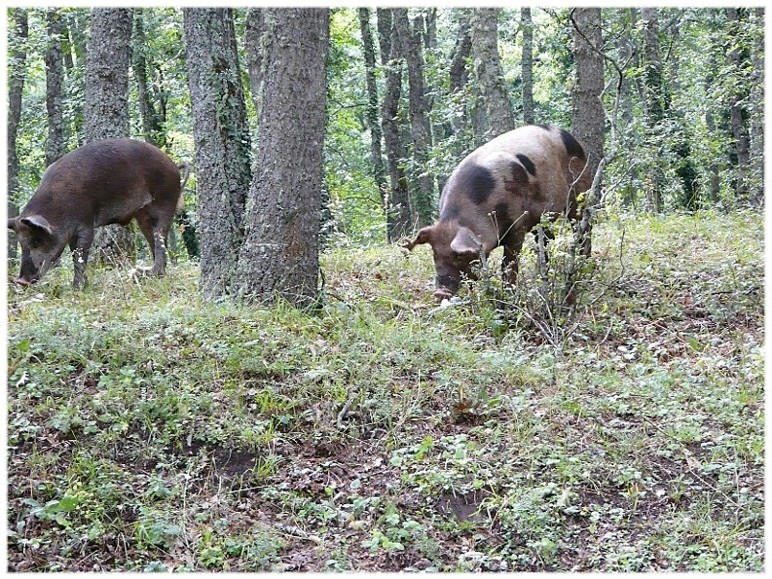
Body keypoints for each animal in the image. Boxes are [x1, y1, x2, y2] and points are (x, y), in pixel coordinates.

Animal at [7, 138, 190, 288]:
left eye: (36, 240)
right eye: (21, 243)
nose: (20, 281)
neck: (59, 207)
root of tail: (174, 166)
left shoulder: (86, 223)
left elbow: (80, 254)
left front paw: (78, 288)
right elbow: (74, 253)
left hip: (165, 199)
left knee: (160, 238)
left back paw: (144, 274)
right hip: (142, 214)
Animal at [404, 125, 592, 302]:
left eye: (458, 255)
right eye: (434, 253)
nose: (440, 293)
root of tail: (568, 135)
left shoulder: (517, 228)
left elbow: (508, 265)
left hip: (580, 191)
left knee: (583, 226)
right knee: (545, 240)